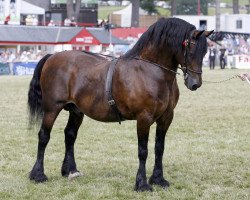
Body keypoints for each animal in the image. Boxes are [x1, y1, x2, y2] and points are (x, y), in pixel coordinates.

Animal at [28, 18, 214, 191]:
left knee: (70, 135)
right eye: (191, 49)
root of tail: (52, 57)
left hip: (76, 111)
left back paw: (70, 171)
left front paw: (159, 179)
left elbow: (159, 148)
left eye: (205, 51)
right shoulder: (144, 118)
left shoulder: (166, 117)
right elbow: (143, 151)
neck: (151, 71)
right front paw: (142, 184)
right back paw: (38, 175)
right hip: (52, 109)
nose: (195, 83)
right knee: (44, 136)